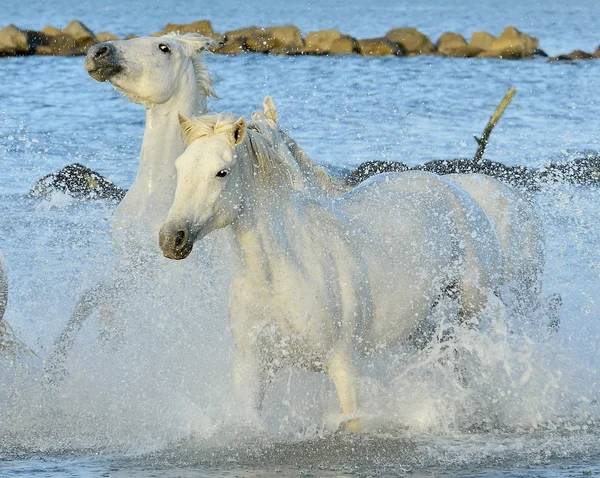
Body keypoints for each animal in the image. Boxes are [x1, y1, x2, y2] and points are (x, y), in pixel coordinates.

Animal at [161, 114, 506, 432]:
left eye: (222, 172)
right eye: (179, 168)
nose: (171, 238)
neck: (282, 274)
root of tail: (456, 190)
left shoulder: (344, 368)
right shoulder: (252, 367)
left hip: (470, 311)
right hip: (419, 327)